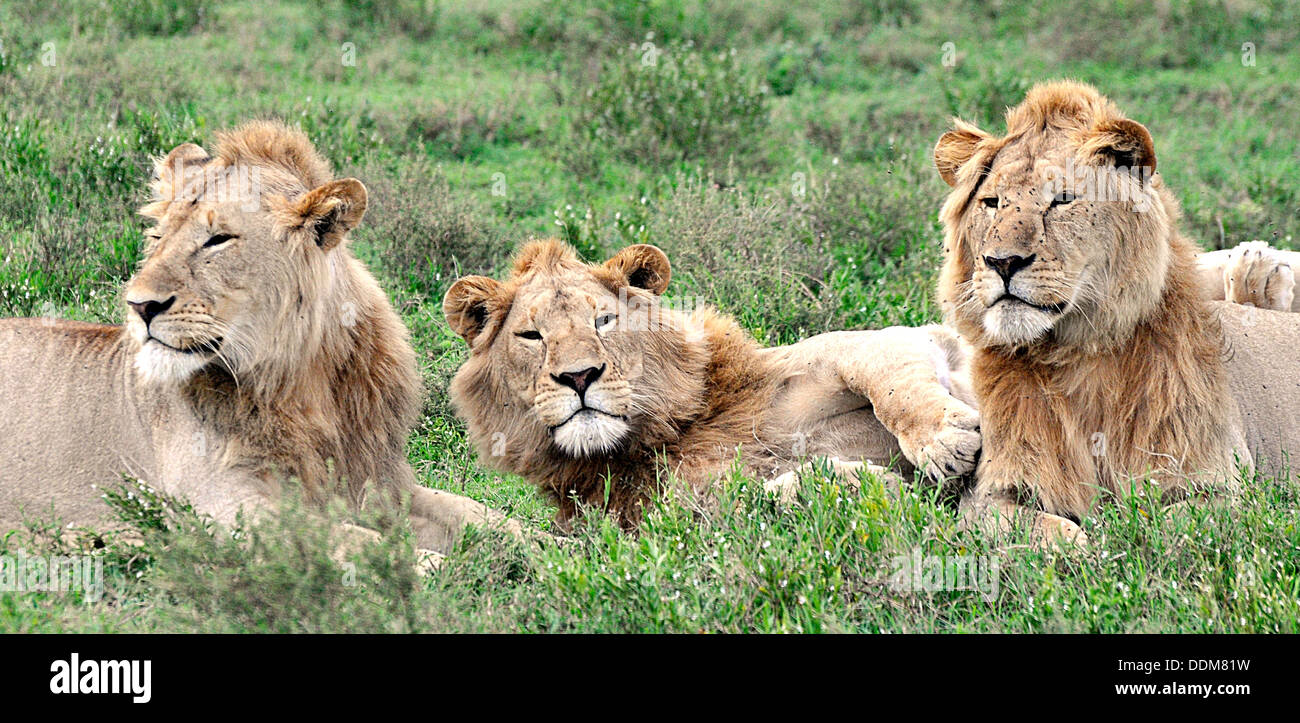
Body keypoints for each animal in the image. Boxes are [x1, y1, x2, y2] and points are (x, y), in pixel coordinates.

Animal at [0, 121, 517, 556]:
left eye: (218, 240)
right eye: (156, 238)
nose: (140, 305)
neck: (301, 381)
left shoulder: (376, 479)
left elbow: (483, 515)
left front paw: (532, 549)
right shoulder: (217, 503)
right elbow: (359, 541)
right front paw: (433, 566)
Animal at [447, 240, 982, 527]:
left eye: (603, 320)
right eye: (532, 336)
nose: (578, 376)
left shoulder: (884, 342)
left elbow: (893, 384)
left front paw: (944, 442)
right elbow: (771, 494)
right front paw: (867, 483)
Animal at [935, 80, 1300, 540]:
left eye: (1062, 200)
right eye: (991, 202)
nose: (1001, 262)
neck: (1078, 357)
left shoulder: (1222, 490)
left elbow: (1167, 526)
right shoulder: (990, 495)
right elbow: (1047, 533)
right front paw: (1086, 546)